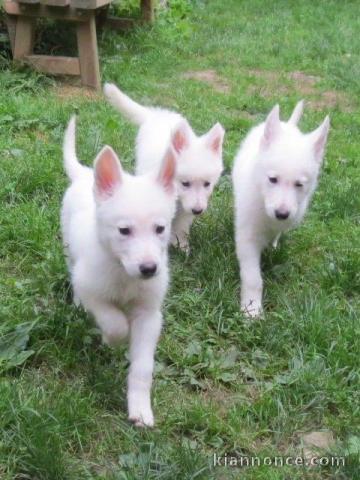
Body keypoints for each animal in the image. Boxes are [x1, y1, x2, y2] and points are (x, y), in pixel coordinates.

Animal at [62, 118, 177, 426]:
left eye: (160, 229)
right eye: (124, 230)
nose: (149, 269)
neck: (124, 274)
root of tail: (86, 174)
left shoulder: (150, 315)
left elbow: (143, 368)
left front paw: (140, 409)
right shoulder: (91, 288)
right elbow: (113, 321)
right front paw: (111, 339)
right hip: (68, 248)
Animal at [102, 84, 224, 253]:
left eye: (207, 184)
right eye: (185, 183)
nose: (198, 211)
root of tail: (156, 114)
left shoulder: (186, 208)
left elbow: (181, 225)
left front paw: (181, 245)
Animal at [232, 101, 330, 316]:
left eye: (299, 184)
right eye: (272, 179)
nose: (282, 214)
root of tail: (288, 125)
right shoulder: (247, 237)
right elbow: (253, 278)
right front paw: (251, 309)